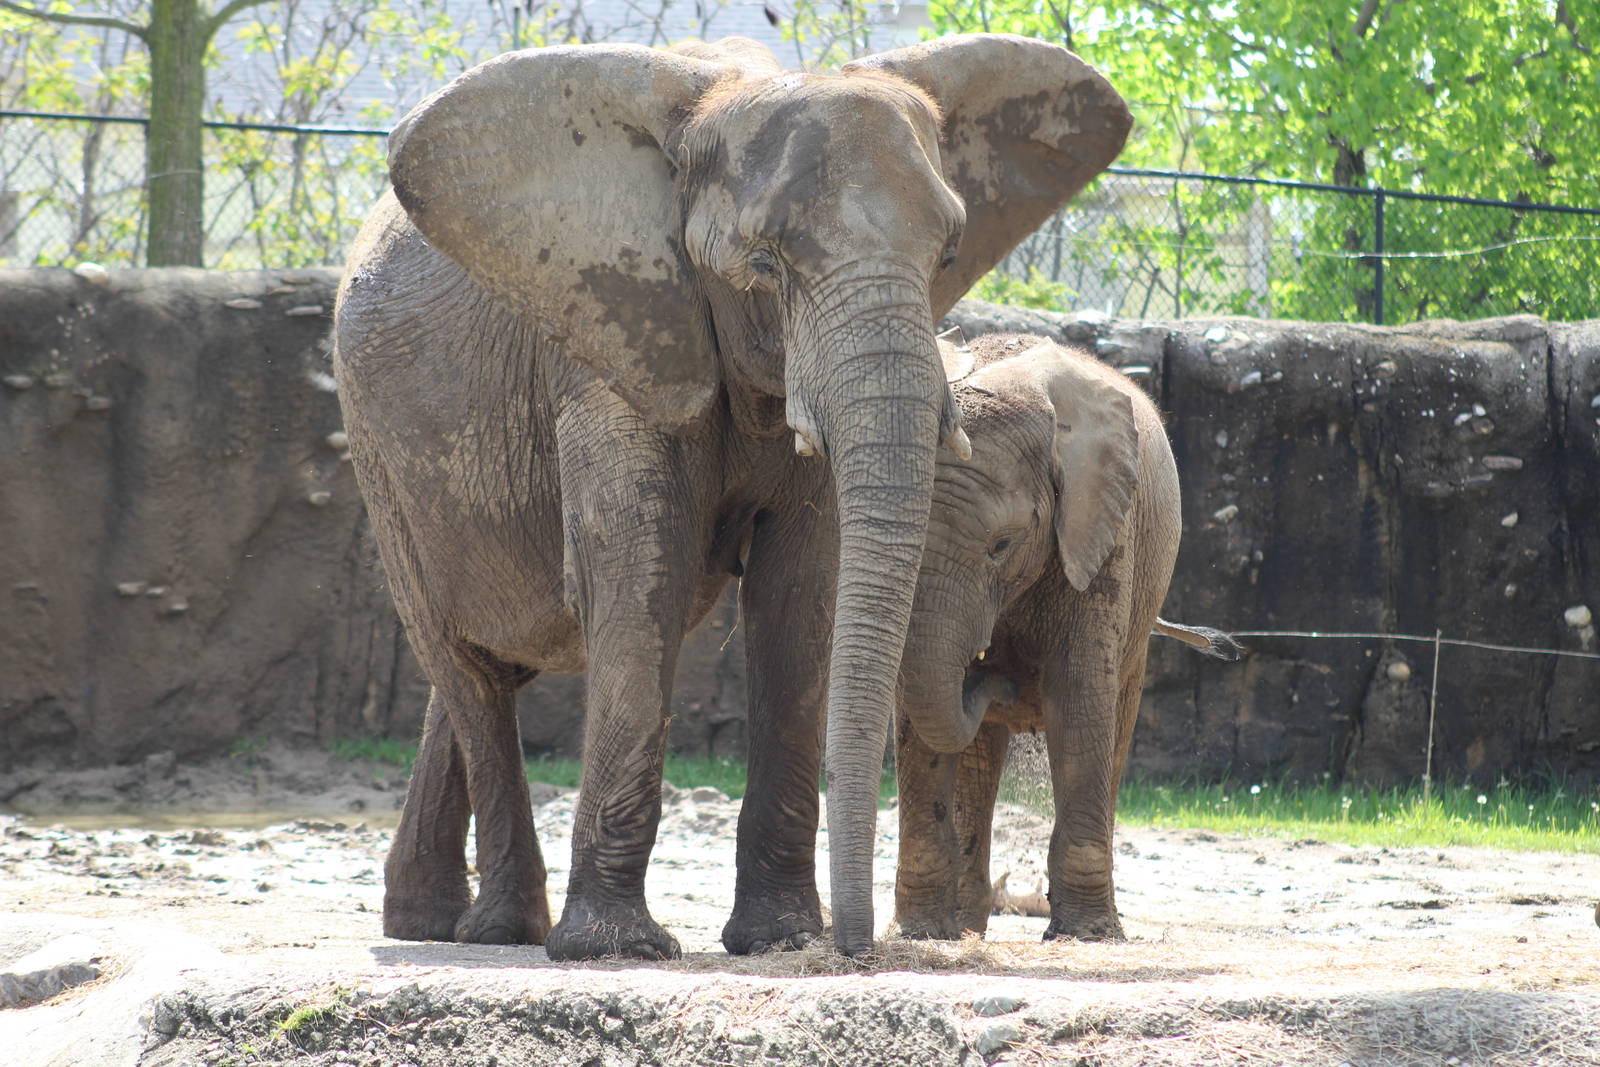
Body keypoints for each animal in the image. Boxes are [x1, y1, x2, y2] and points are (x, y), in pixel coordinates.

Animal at [333, 37, 1131, 959]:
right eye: (764, 263)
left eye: (947, 254)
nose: (858, 946)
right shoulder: (615, 337)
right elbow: (639, 573)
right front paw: (617, 949)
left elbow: (802, 587)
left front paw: (780, 938)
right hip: (378, 450)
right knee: (464, 664)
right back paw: (502, 929)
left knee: (489, 660)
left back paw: (428, 919)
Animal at [891, 335, 1241, 943]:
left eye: (1003, 545)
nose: (1000, 677)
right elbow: (918, 721)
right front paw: (922, 935)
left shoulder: (1102, 533)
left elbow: (1077, 700)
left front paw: (1083, 935)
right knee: (978, 753)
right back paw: (967, 927)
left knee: (1113, 726)